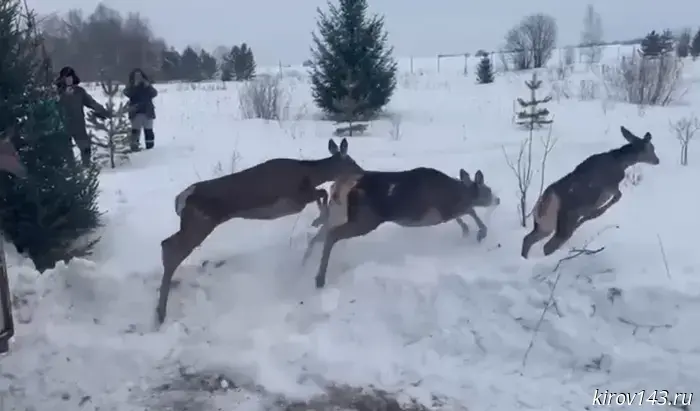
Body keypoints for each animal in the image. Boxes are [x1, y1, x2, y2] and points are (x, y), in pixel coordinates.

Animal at [157, 138, 364, 326]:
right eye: (352, 161)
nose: (362, 172)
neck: (309, 174)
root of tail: (180, 199)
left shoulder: (297, 200)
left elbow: (322, 193)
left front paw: (319, 218)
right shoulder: (294, 198)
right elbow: (322, 193)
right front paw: (320, 218)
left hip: (193, 224)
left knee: (166, 243)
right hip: (201, 222)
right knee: (172, 250)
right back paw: (160, 314)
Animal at [304, 167, 500, 290]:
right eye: (488, 190)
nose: (497, 199)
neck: (457, 191)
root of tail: (340, 186)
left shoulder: (441, 213)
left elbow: (464, 214)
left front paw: (467, 230)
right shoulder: (439, 211)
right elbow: (470, 210)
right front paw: (480, 233)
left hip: (340, 213)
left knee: (320, 233)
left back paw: (305, 262)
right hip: (366, 219)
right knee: (331, 235)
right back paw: (319, 278)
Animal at [520, 126, 660, 260]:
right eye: (651, 148)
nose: (657, 160)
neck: (621, 162)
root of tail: (546, 199)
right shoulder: (609, 186)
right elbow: (617, 197)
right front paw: (594, 213)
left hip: (546, 224)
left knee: (528, 239)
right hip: (566, 220)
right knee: (548, 246)